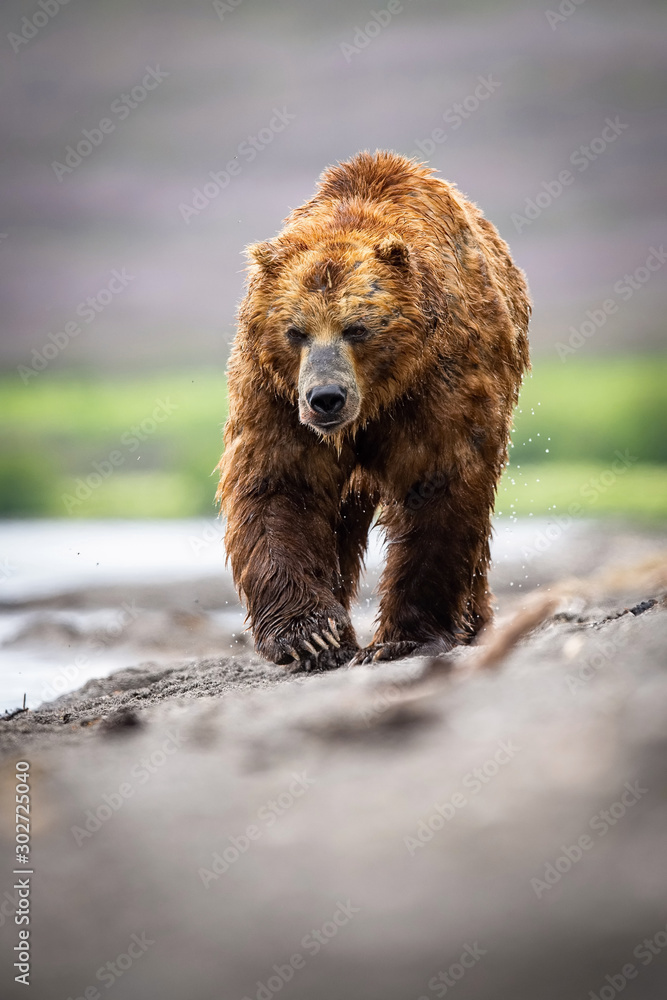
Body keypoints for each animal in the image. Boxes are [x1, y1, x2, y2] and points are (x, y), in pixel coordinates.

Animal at [217, 150, 531, 670]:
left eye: (357, 328)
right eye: (295, 331)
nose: (326, 398)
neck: (378, 397)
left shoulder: (440, 381)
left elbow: (437, 485)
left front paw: (403, 638)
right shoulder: (275, 393)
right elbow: (280, 483)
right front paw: (311, 635)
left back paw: (473, 623)